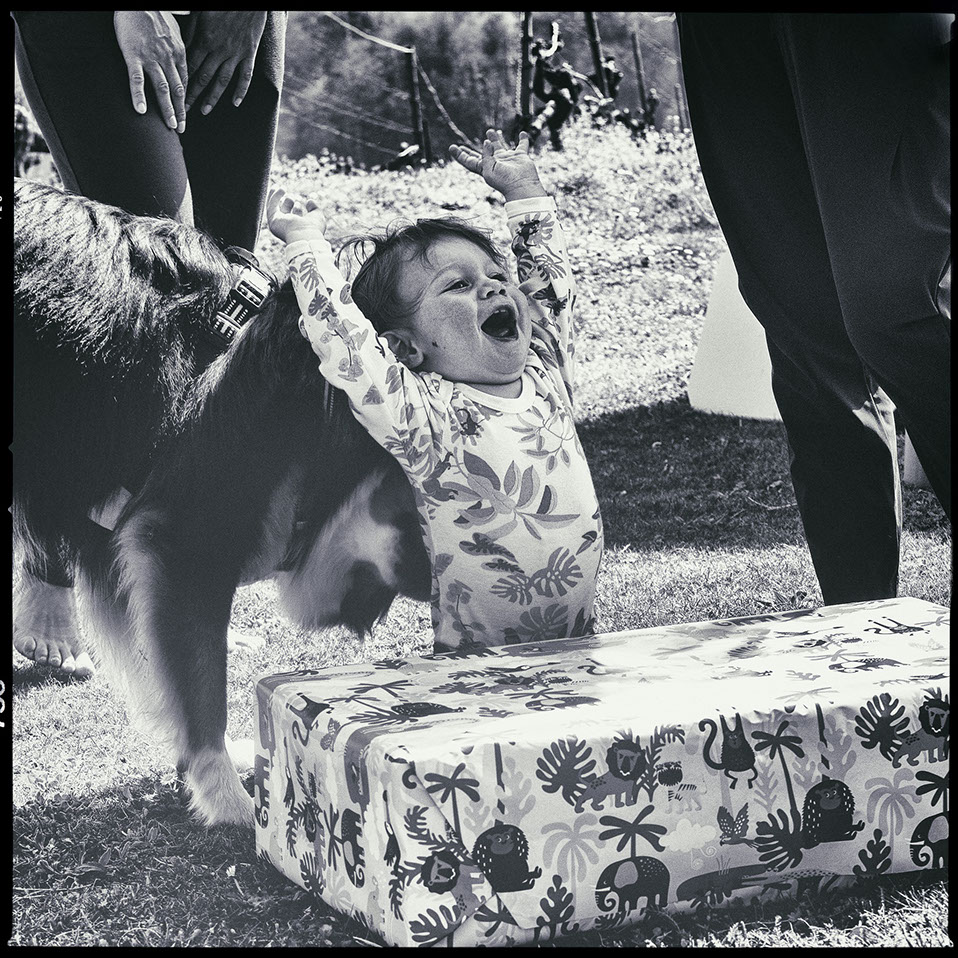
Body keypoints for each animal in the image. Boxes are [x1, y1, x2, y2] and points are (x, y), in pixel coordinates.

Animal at [12, 178, 431, 827]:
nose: (434, 590)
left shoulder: (125, 548)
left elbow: (166, 666)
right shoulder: (176, 540)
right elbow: (202, 684)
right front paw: (227, 794)